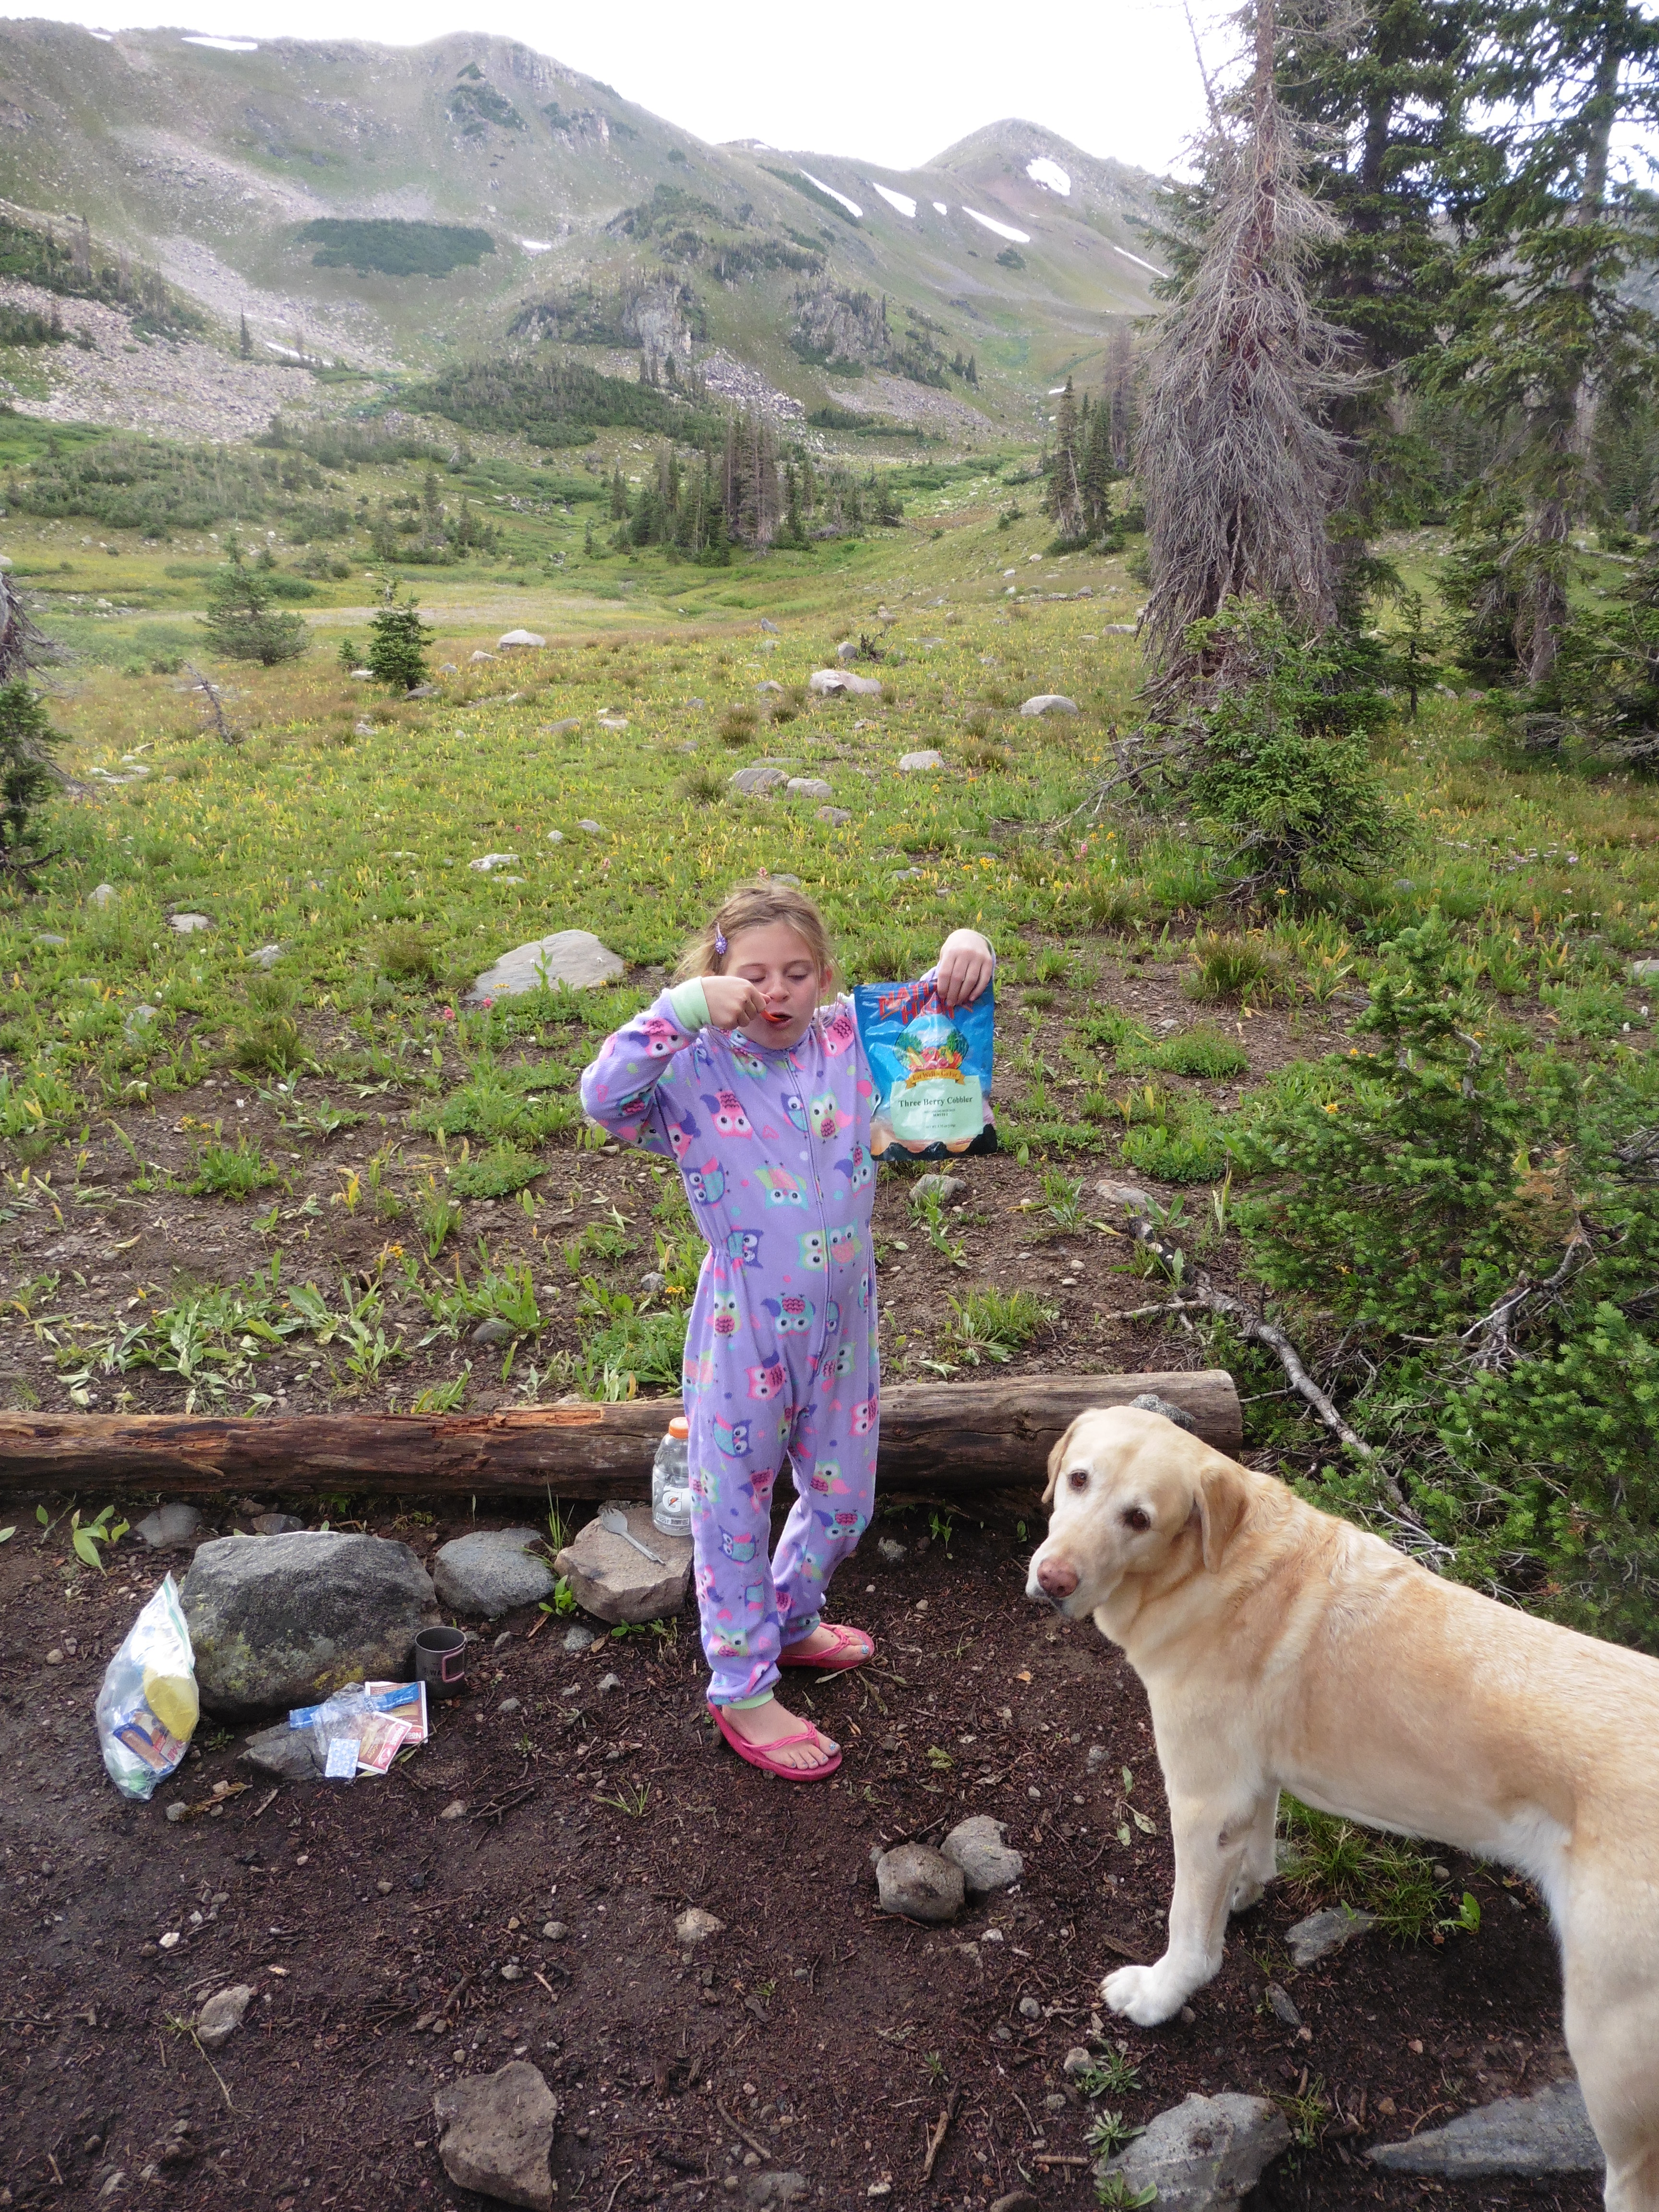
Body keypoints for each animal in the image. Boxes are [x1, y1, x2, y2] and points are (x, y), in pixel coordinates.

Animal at [1035, 1407, 1659, 2203]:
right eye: (1078, 1479)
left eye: (1138, 1518)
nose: (1051, 1580)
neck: (1214, 1568)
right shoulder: (1247, 1788)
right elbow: (1254, 1850)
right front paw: (1242, 1893)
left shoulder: (1202, 1800)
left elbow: (1189, 1933)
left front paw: (1160, 1996)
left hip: (1611, 2048)